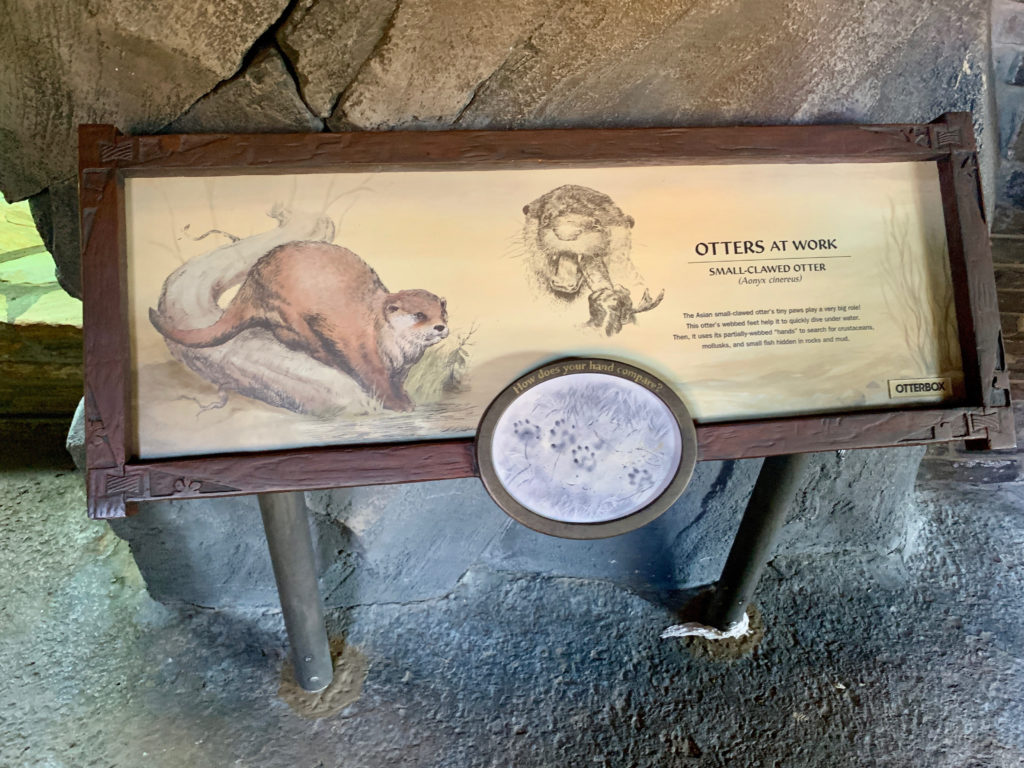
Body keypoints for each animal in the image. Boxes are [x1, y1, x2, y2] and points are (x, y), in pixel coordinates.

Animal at [149, 241, 449, 412]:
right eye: (419, 314)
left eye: (443, 311)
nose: (440, 327)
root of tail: (252, 280)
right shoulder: (362, 347)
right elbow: (375, 379)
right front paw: (396, 405)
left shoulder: (403, 367)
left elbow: (397, 382)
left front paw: (406, 399)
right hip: (288, 308)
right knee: (300, 340)